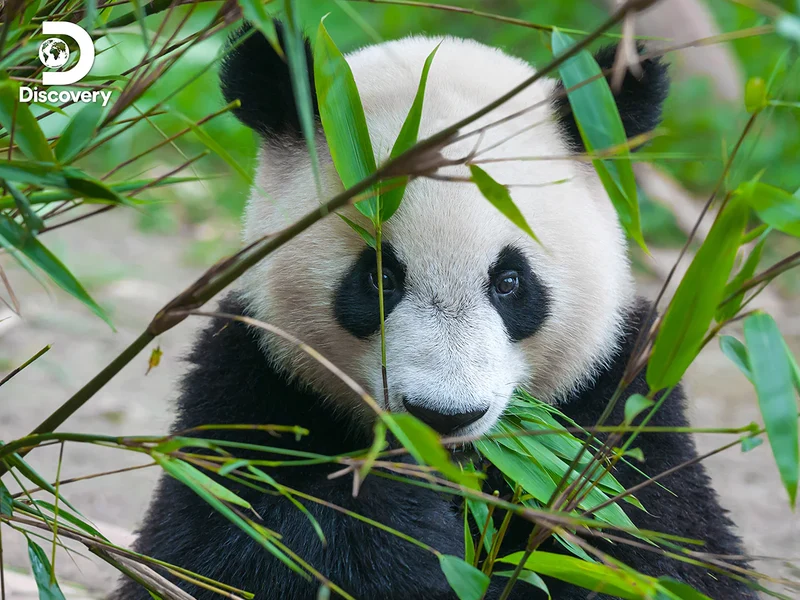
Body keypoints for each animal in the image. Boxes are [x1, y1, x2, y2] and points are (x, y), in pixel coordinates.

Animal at [115, 23, 758, 600]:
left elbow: (659, 551)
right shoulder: (252, 382)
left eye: (509, 282)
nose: (443, 415)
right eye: (379, 279)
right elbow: (225, 543)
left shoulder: (617, 402)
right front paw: (406, 527)